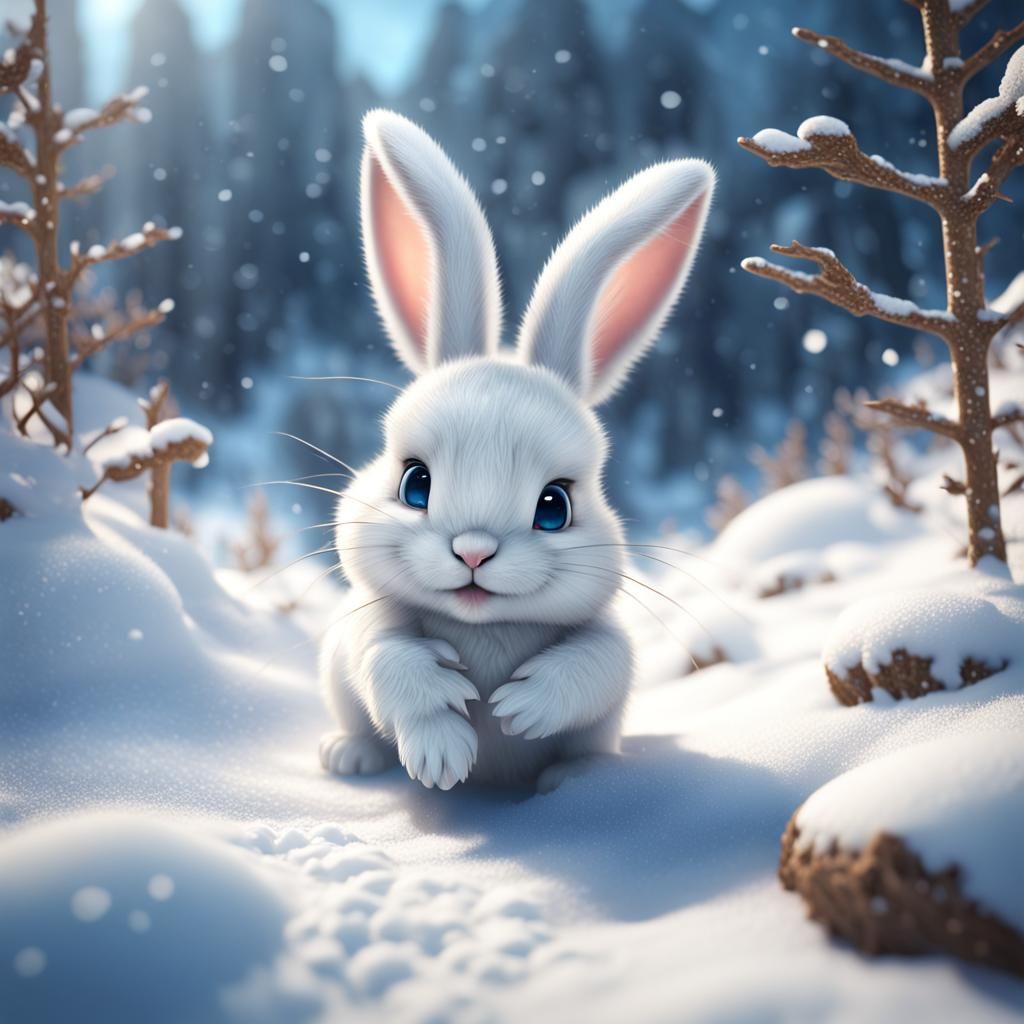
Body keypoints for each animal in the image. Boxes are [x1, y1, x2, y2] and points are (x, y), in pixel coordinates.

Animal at [319, 109, 715, 792]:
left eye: (554, 507)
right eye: (414, 484)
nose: (474, 552)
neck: (483, 627)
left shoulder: (606, 641)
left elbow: (600, 663)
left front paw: (518, 707)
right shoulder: (368, 627)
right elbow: (389, 660)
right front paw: (443, 758)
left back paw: (577, 780)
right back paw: (350, 757)